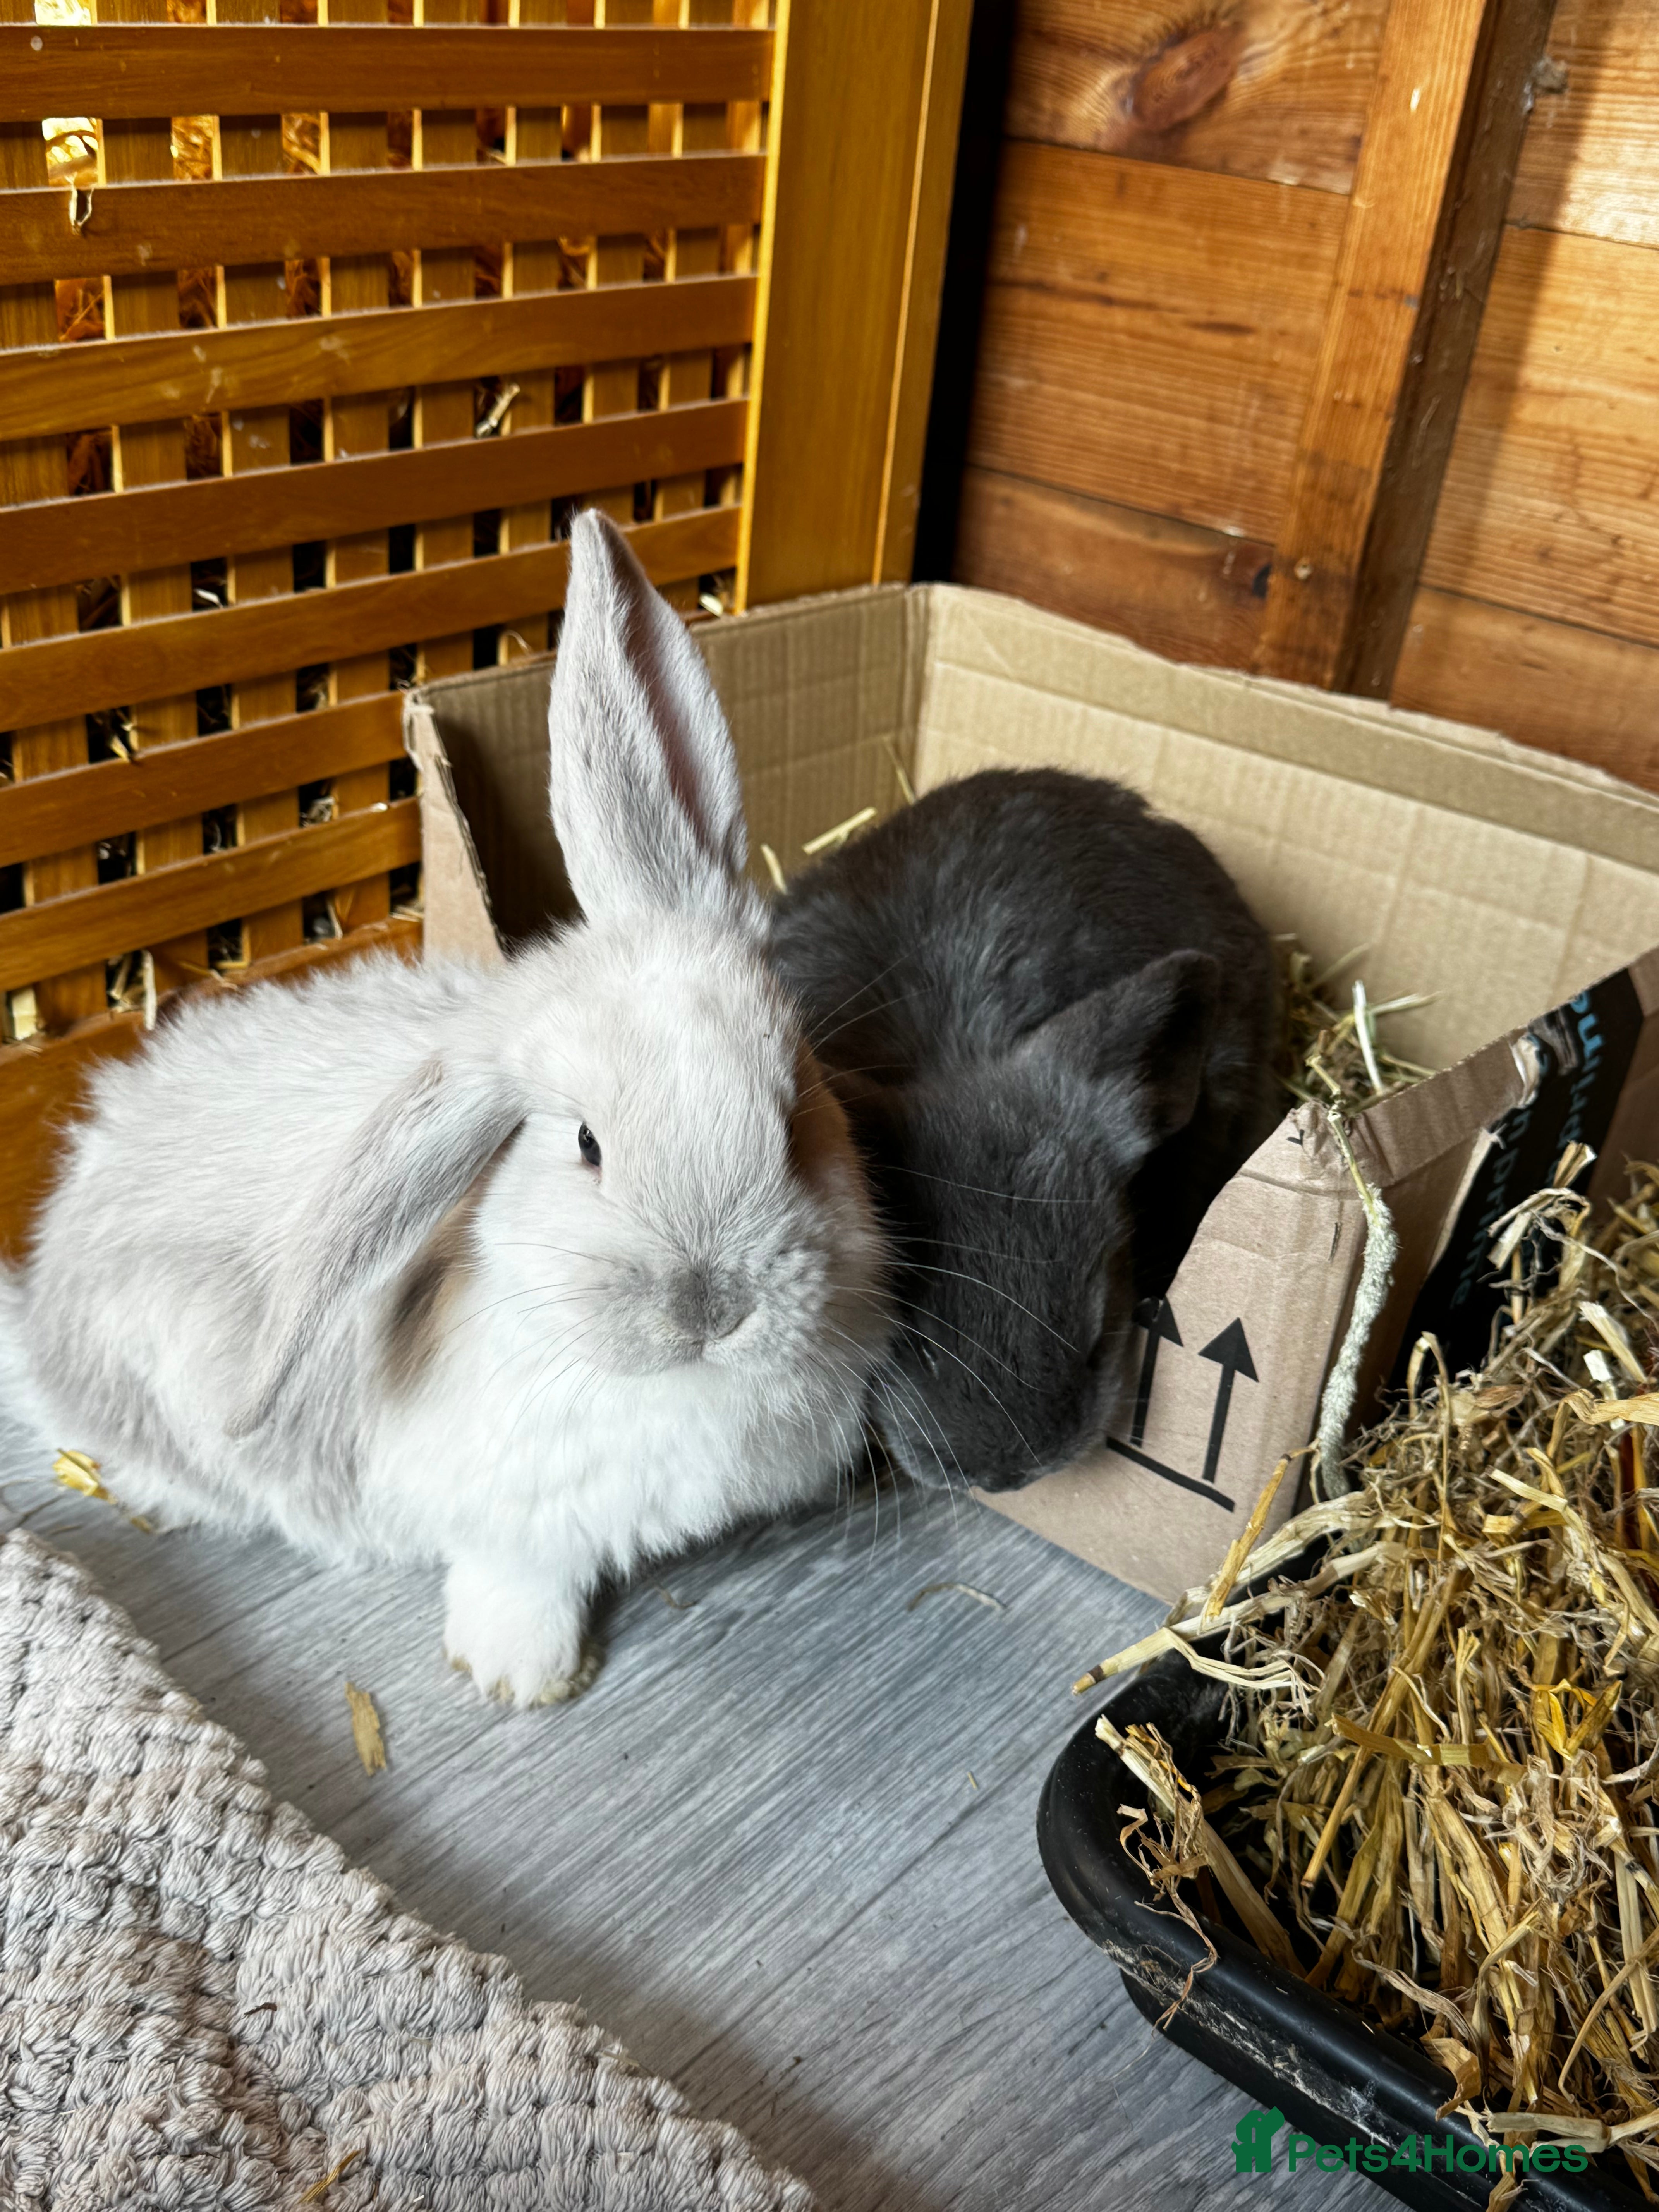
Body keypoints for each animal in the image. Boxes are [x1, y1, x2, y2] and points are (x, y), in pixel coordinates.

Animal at [0, 511, 891, 1707]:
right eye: (586, 1144)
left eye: (794, 1115)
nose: (713, 1306)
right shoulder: (508, 1521)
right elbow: (517, 1578)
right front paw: (522, 1679)